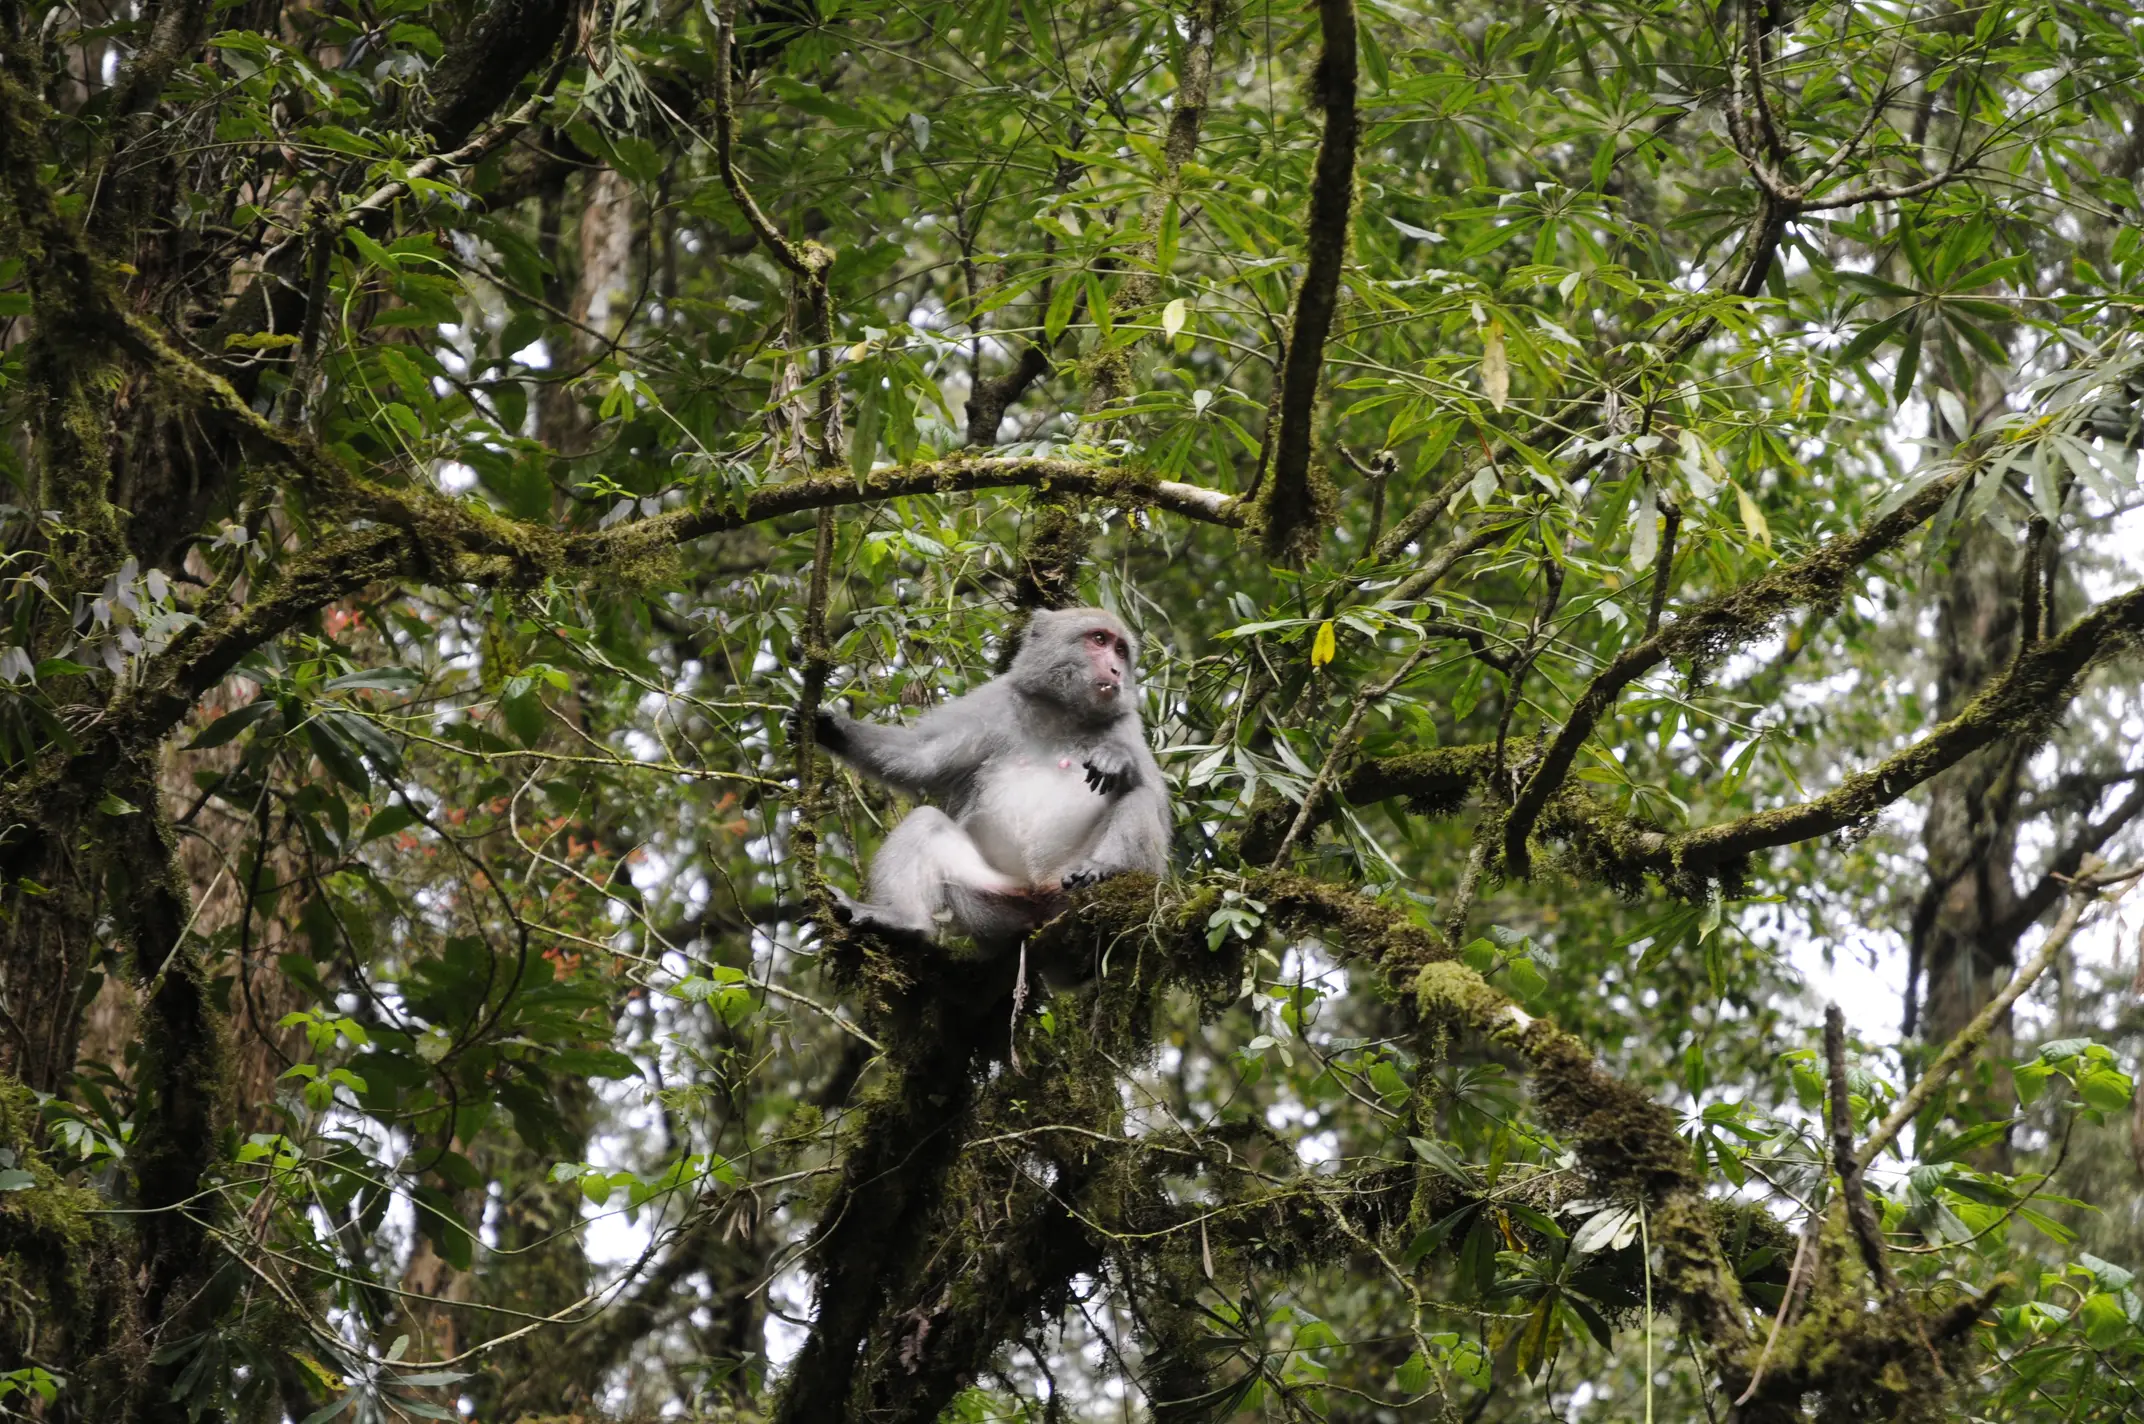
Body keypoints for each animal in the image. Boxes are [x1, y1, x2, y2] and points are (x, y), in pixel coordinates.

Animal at [793, 607, 1170, 950]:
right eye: (1099, 640)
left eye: (1121, 650)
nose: (1116, 669)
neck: (1062, 713)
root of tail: (1038, 899)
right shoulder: (996, 701)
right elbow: (921, 757)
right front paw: (830, 728)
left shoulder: (1126, 723)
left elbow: (1156, 798)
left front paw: (1118, 761)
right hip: (988, 903)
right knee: (926, 823)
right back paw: (902, 920)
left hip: (1066, 888)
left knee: (1140, 799)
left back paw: (1101, 868)